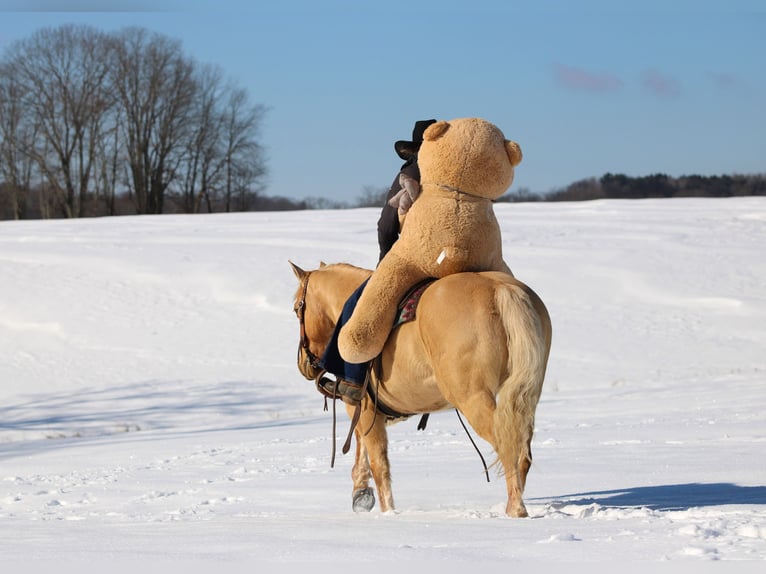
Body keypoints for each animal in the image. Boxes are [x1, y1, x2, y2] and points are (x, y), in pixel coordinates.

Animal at [289, 261, 552, 517]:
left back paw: (515, 510)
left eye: (296, 308)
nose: (303, 364)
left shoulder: (364, 409)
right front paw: (361, 493)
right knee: (522, 451)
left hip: (473, 399)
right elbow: (362, 450)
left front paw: (387, 512)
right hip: (524, 399)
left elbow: (378, 465)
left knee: (508, 447)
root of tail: (502, 290)